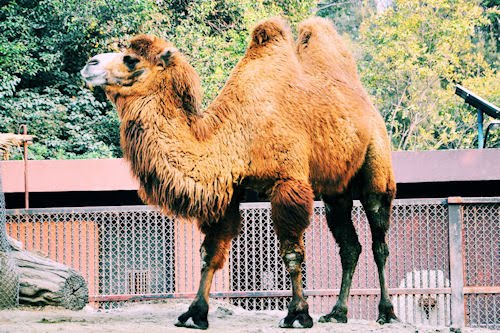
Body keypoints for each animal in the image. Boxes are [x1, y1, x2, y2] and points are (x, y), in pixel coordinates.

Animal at [80, 16, 396, 328]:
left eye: (131, 60)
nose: (89, 64)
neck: (237, 133)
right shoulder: (229, 191)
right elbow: (210, 254)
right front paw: (194, 314)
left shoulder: (289, 183)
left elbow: (292, 252)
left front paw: (297, 314)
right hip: (336, 191)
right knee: (350, 246)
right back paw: (338, 313)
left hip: (377, 165)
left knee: (379, 241)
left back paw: (386, 312)